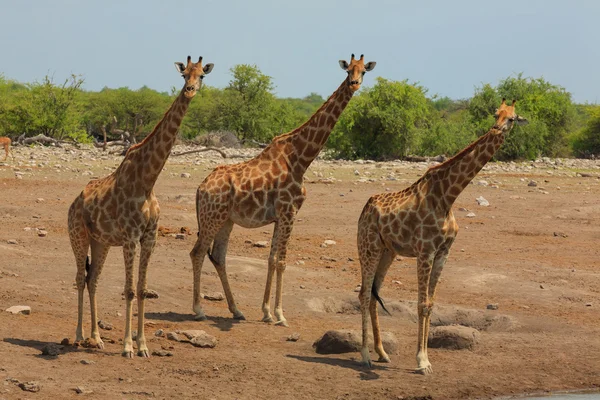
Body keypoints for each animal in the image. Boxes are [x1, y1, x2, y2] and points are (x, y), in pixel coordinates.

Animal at [68, 55, 213, 356]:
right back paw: (78, 335)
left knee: (92, 279)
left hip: (101, 242)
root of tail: (74, 203)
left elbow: (143, 287)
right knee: (78, 278)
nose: (190, 90)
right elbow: (130, 289)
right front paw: (127, 347)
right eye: (184, 74)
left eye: (202, 76)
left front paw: (143, 345)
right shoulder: (131, 238)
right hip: (78, 236)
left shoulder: (149, 237)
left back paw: (97, 338)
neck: (148, 180)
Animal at [358, 99, 528, 372]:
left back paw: (382, 353)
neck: (449, 196)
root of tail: (365, 209)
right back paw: (364, 355)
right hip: (368, 247)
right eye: (496, 114)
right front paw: (421, 360)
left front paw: (426, 359)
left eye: (511, 118)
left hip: (387, 252)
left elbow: (430, 305)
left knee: (374, 295)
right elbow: (420, 304)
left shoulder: (443, 252)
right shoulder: (425, 251)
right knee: (363, 293)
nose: (496, 129)